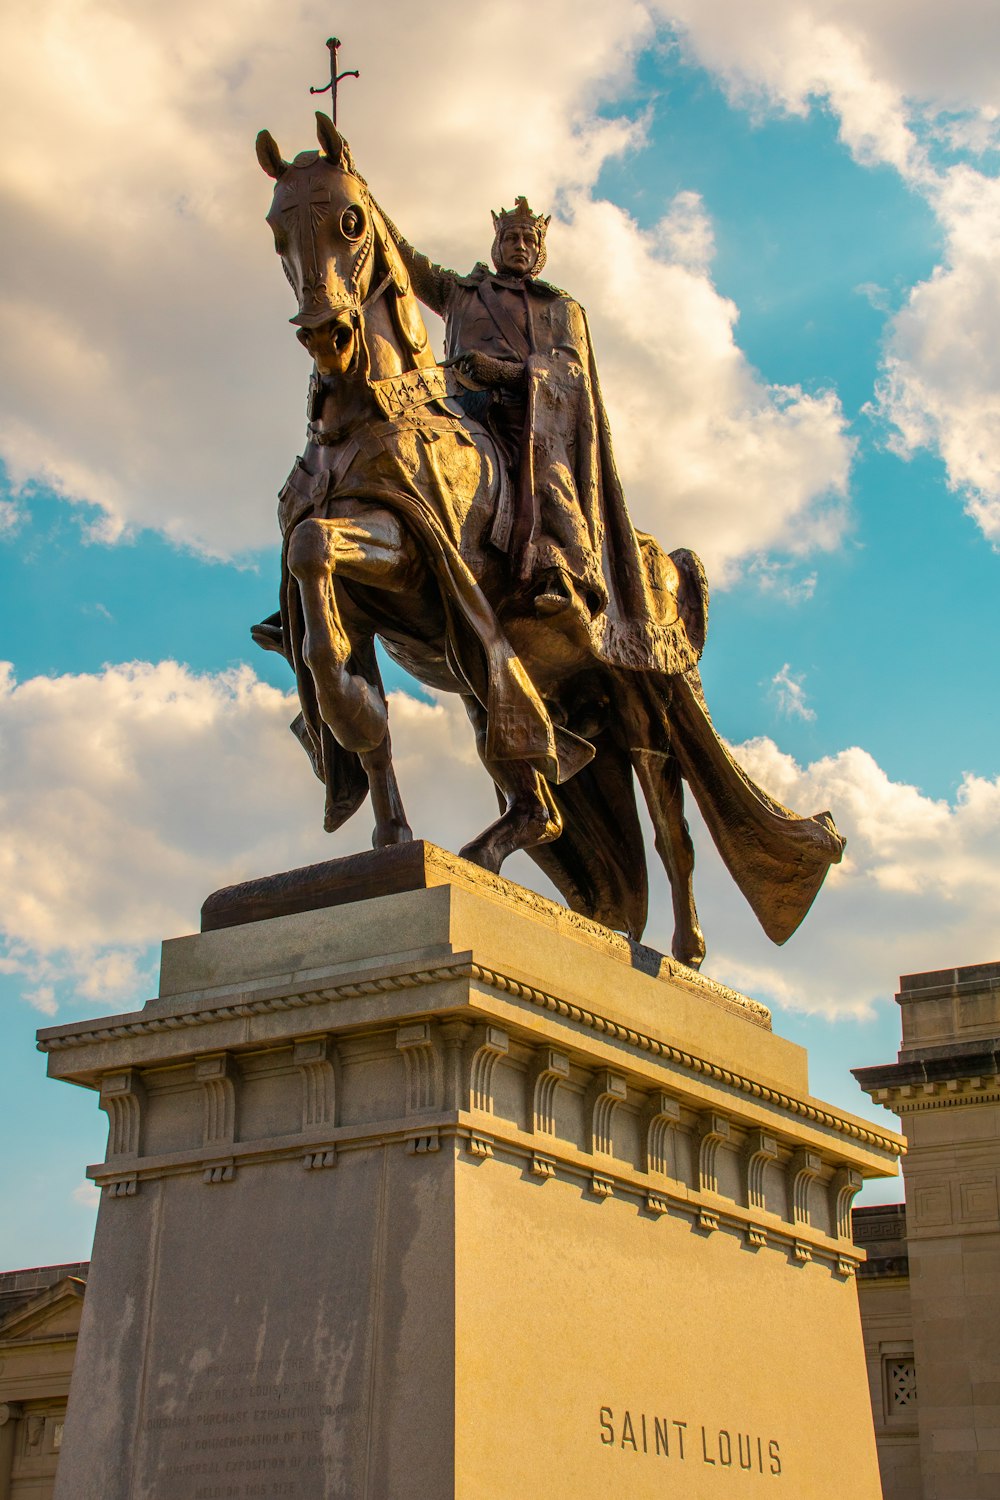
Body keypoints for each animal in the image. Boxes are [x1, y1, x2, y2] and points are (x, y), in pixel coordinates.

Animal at [251, 111, 845, 966]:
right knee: (547, 794)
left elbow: (314, 550)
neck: (365, 417)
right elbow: (348, 673)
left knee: (668, 828)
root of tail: (664, 559)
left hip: (640, 704)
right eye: (277, 229)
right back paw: (495, 855)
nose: (328, 334)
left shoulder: (412, 554)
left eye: (352, 220)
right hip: (534, 692)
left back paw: (682, 951)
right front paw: (386, 826)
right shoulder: (369, 606)